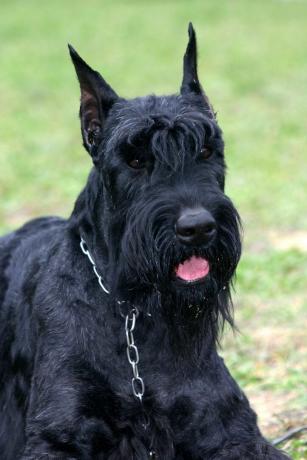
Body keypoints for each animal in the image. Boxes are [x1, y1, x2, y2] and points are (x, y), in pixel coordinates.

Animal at [0, 25, 290, 460]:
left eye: (206, 149)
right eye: (135, 160)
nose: (197, 227)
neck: (135, 315)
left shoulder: (232, 431)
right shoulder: (58, 435)